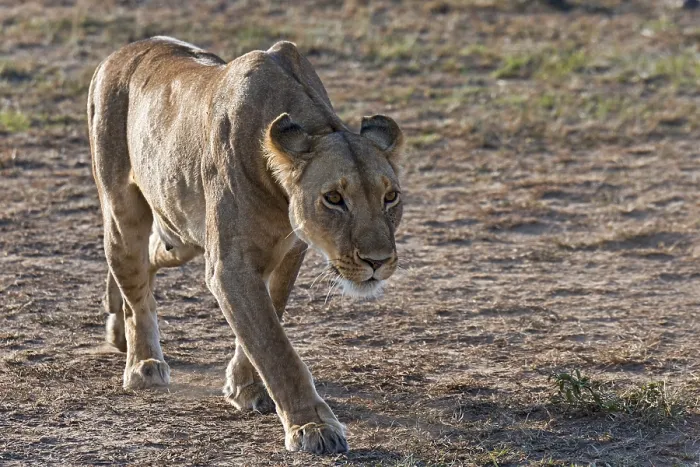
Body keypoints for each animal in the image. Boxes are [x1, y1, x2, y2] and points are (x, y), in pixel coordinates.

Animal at [87, 36, 403, 454]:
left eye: (390, 197)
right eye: (334, 198)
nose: (378, 261)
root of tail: (121, 52)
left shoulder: (289, 251)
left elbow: (268, 318)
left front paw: (244, 385)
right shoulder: (230, 266)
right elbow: (274, 345)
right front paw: (313, 427)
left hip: (180, 232)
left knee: (151, 257)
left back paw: (117, 328)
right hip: (123, 210)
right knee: (136, 288)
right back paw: (142, 364)